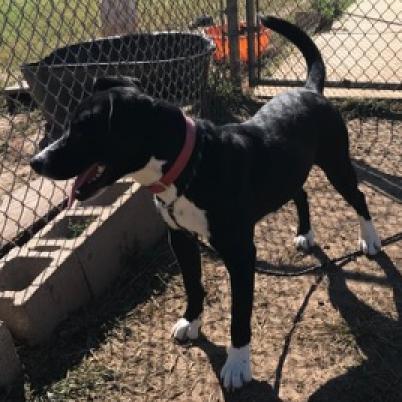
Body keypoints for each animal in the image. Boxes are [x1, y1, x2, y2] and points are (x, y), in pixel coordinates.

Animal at [30, 17, 380, 392]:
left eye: (83, 130)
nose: (36, 162)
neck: (187, 168)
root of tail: (310, 90)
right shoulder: (181, 239)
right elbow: (193, 285)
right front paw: (191, 322)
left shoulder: (240, 254)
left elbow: (239, 316)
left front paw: (238, 364)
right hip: (291, 172)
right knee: (301, 194)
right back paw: (306, 233)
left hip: (337, 165)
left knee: (358, 197)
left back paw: (370, 239)